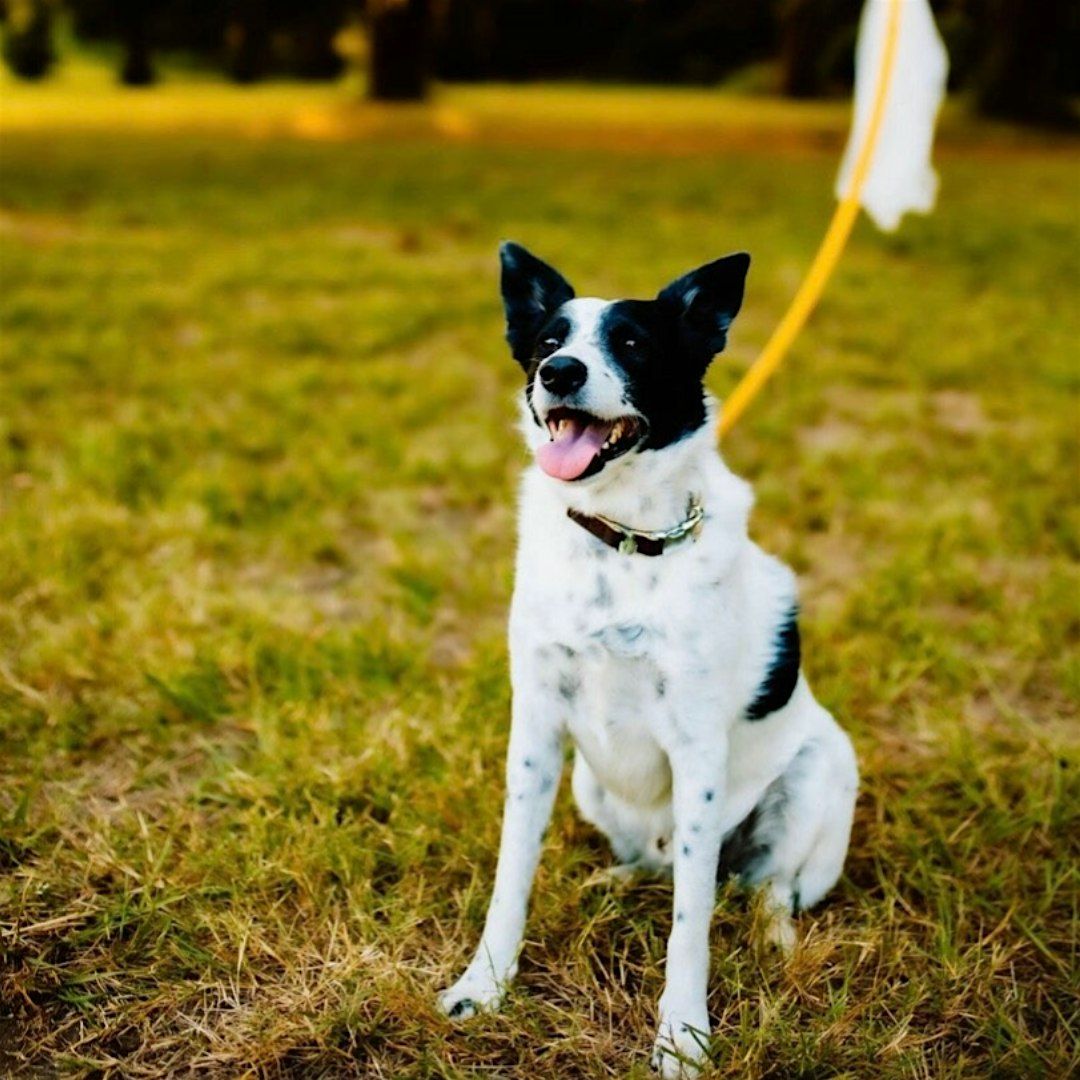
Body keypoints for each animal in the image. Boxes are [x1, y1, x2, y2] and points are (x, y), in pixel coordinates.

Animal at [438, 240, 859, 1075]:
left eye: (632, 344)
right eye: (548, 342)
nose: (559, 372)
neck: (622, 541)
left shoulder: (697, 751)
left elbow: (690, 923)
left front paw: (682, 1036)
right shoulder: (536, 730)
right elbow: (511, 873)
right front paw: (486, 984)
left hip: (815, 774)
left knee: (764, 887)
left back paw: (774, 940)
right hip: (589, 788)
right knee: (660, 866)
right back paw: (612, 879)